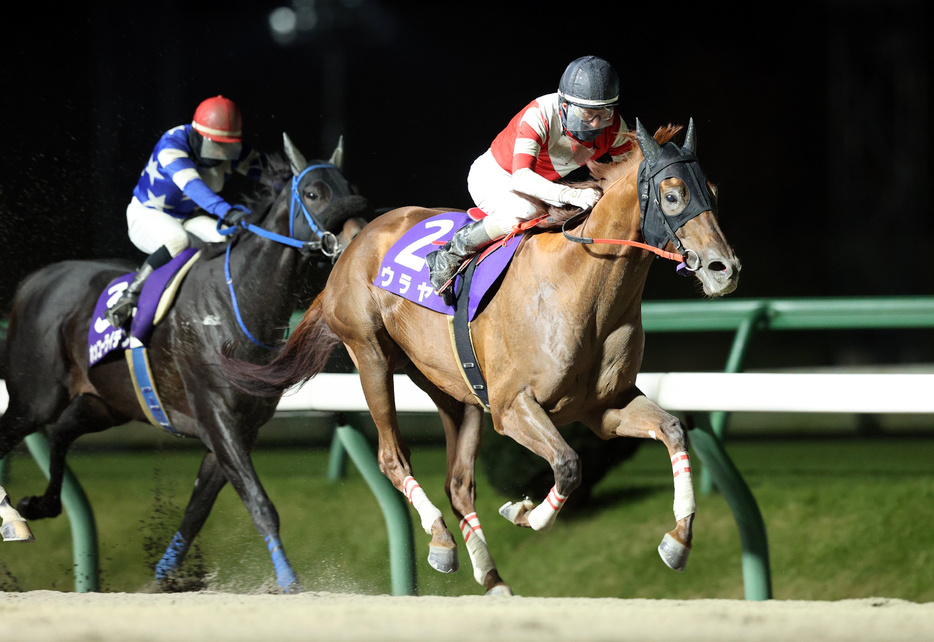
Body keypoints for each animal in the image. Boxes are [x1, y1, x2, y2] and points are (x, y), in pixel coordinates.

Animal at [0, 131, 372, 592]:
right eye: (313, 193)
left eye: (350, 188)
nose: (358, 239)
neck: (235, 300)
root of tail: (33, 282)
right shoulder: (217, 418)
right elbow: (260, 503)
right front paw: (289, 581)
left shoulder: (238, 430)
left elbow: (197, 512)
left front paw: (164, 579)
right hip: (35, 398)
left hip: (104, 402)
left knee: (63, 432)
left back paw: (39, 505)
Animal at [225, 117, 740, 592]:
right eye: (672, 195)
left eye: (712, 190)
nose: (725, 269)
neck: (580, 285)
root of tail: (355, 242)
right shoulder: (513, 406)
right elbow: (568, 464)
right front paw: (523, 512)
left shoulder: (604, 408)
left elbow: (673, 430)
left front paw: (678, 540)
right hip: (369, 354)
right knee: (393, 458)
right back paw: (441, 537)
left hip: (454, 389)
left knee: (458, 482)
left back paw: (486, 574)